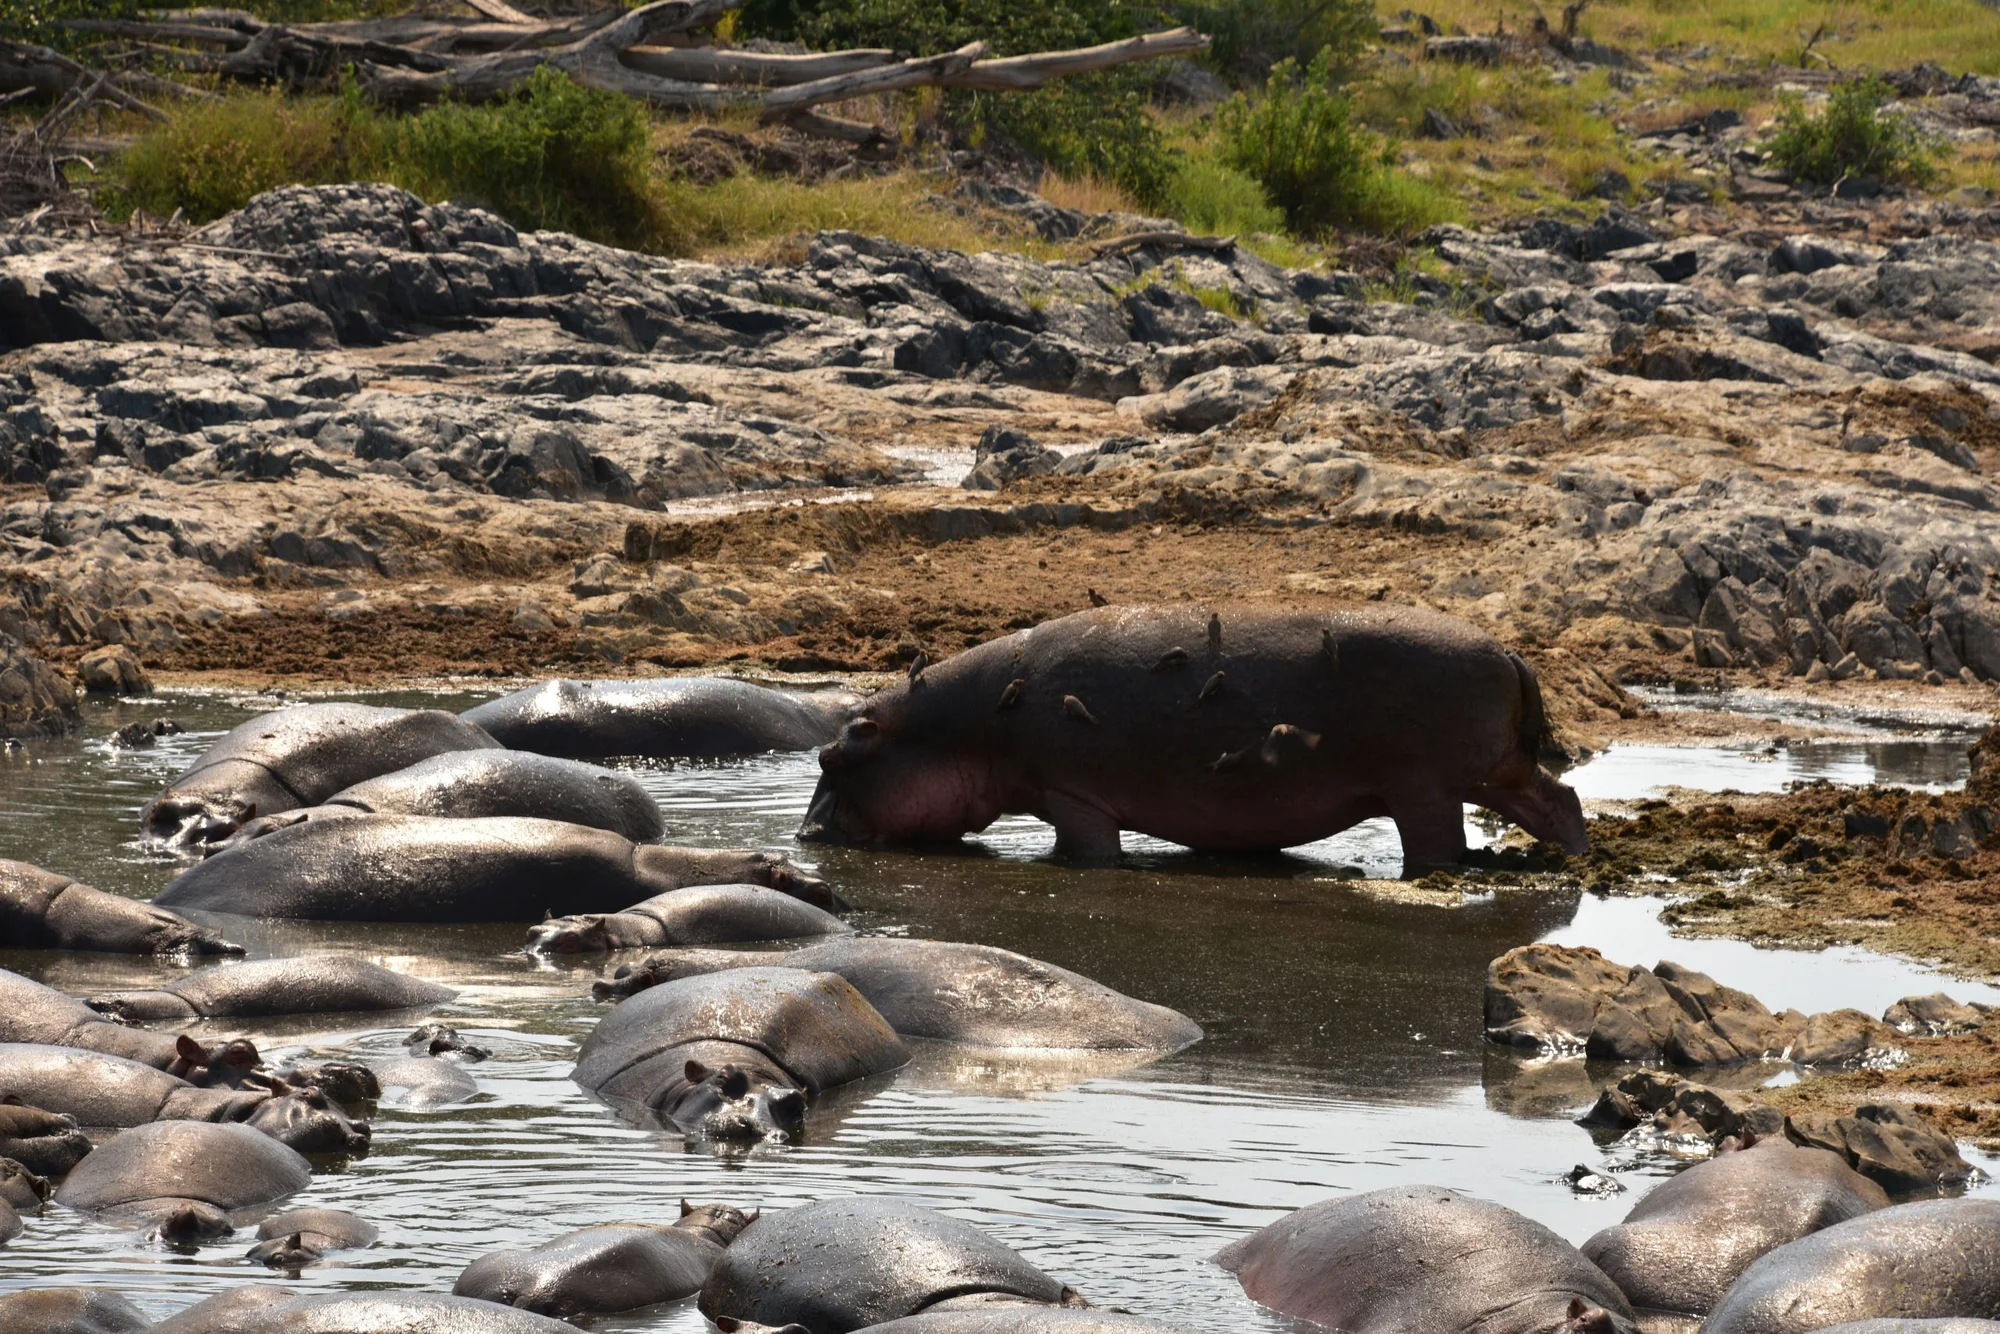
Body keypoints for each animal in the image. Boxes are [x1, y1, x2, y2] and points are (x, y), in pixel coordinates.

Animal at [800, 605, 1587, 873]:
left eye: (832, 755)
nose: (804, 837)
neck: (956, 726)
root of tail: (1511, 650)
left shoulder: (1070, 792)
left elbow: (1088, 849)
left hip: (1425, 788)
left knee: (1441, 846)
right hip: (1497, 773)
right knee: (1562, 798)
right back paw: (1574, 859)